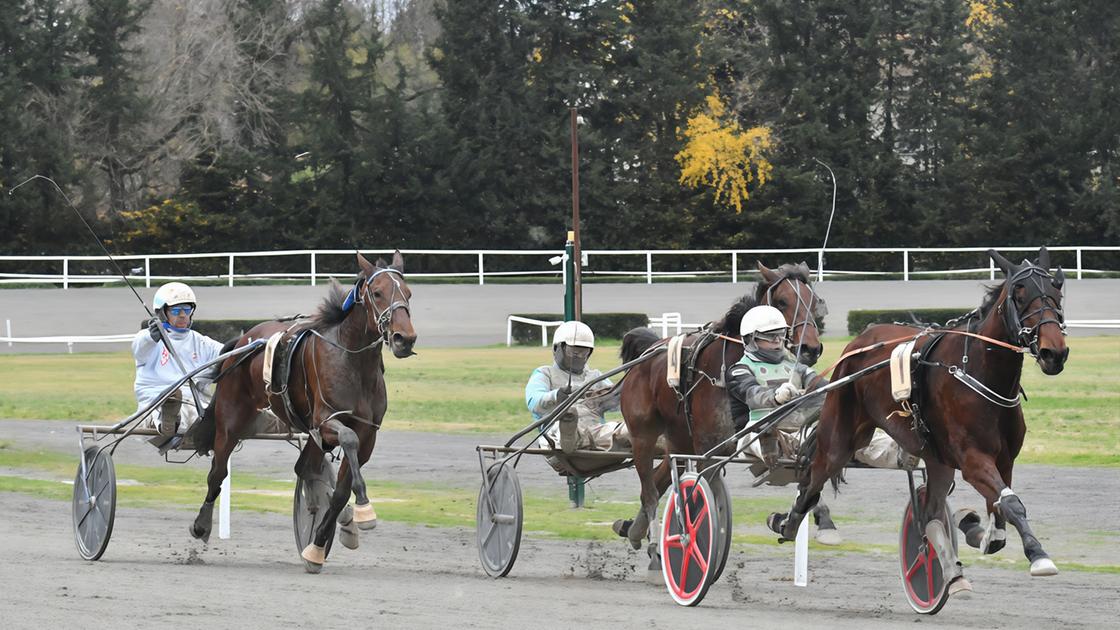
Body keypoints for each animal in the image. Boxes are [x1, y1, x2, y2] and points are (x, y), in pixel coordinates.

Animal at [188, 249, 416, 569]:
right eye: (377, 292)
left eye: (408, 293)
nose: (404, 339)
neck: (352, 362)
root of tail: (245, 338)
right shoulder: (326, 422)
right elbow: (348, 440)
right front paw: (363, 510)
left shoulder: (367, 433)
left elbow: (341, 489)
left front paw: (317, 547)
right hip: (231, 420)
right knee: (217, 473)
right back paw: (202, 524)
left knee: (304, 467)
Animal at [618, 262, 828, 547]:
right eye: (783, 301)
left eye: (813, 300)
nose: (810, 348)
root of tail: (649, 352)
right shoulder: (708, 450)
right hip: (643, 436)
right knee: (649, 490)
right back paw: (651, 540)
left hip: (680, 438)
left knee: (661, 477)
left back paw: (635, 529)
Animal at [770, 246, 1066, 587]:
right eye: (1019, 292)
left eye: (1057, 289)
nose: (1054, 353)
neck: (980, 372)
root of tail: (860, 340)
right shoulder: (973, 459)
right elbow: (1011, 503)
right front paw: (1038, 554)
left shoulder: (1004, 460)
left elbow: (999, 518)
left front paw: (978, 529)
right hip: (840, 435)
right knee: (813, 476)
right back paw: (789, 521)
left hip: (936, 459)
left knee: (931, 509)